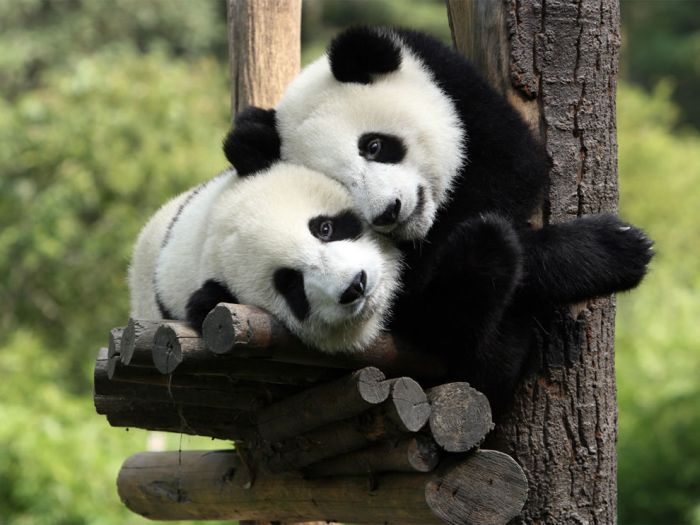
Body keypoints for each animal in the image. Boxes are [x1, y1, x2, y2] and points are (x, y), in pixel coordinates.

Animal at [221, 24, 652, 410]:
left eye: (374, 146)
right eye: (341, 186)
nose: (389, 211)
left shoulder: (457, 89)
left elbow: (515, 167)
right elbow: (421, 296)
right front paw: (614, 250)